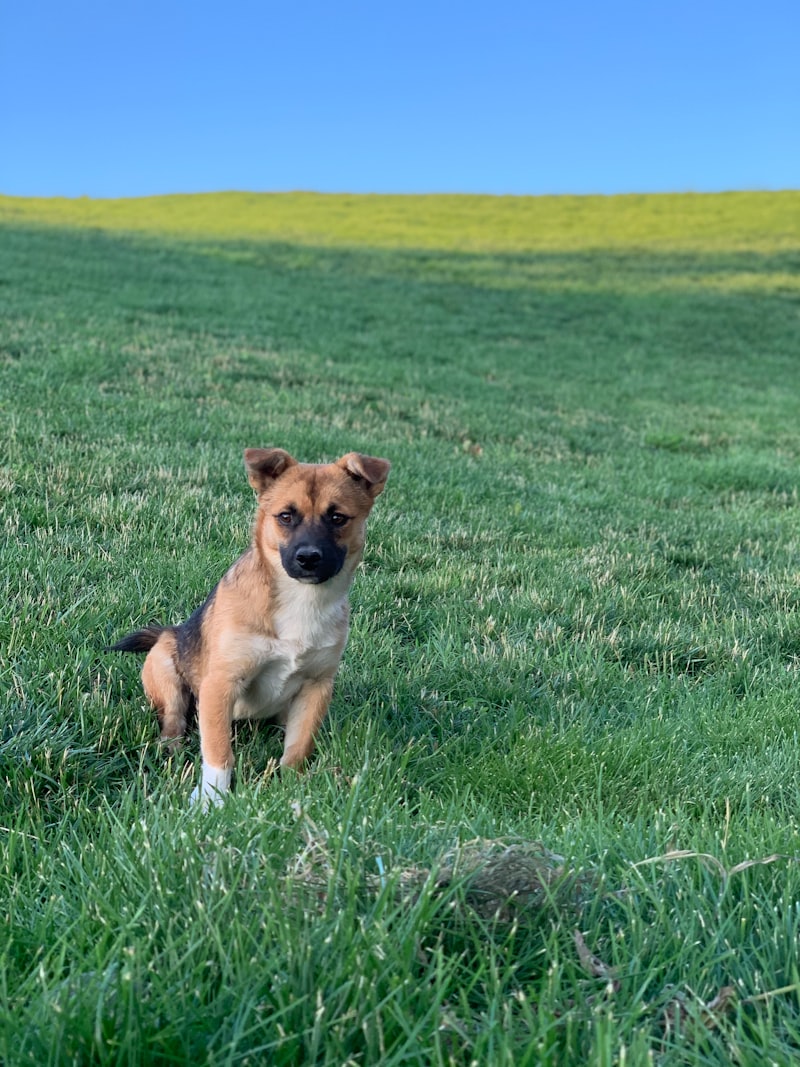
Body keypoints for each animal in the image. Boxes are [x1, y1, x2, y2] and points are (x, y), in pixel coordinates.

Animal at [110, 446, 392, 802]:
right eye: (285, 516)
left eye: (338, 518)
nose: (308, 558)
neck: (301, 600)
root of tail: (167, 631)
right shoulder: (221, 684)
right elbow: (219, 752)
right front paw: (211, 800)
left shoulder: (317, 686)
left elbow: (298, 748)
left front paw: (292, 790)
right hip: (165, 670)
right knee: (174, 721)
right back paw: (172, 749)